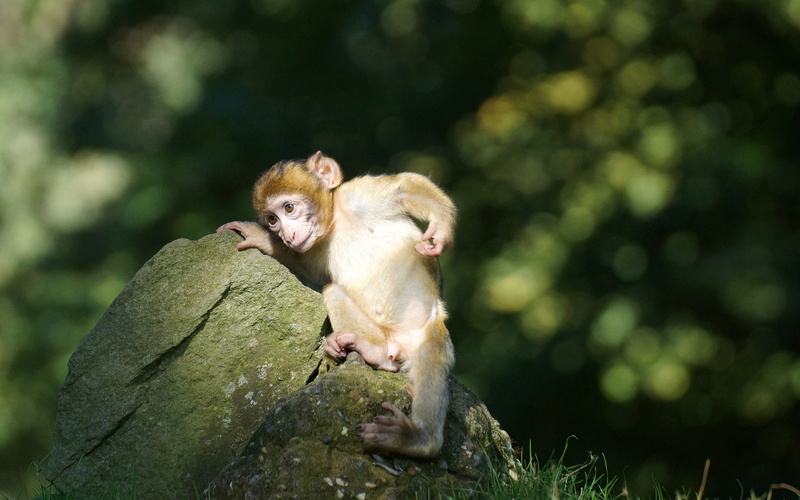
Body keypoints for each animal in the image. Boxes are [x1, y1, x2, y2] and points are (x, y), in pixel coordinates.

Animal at [216, 151, 457, 459]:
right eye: (272, 220)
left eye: (289, 208)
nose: (286, 234)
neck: (335, 223)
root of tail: (399, 346)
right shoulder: (311, 249)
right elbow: (316, 277)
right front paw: (263, 240)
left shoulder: (359, 195)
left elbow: (405, 187)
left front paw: (441, 228)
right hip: (382, 337)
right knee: (333, 292)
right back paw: (373, 352)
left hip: (428, 333)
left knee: (431, 359)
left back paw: (417, 438)